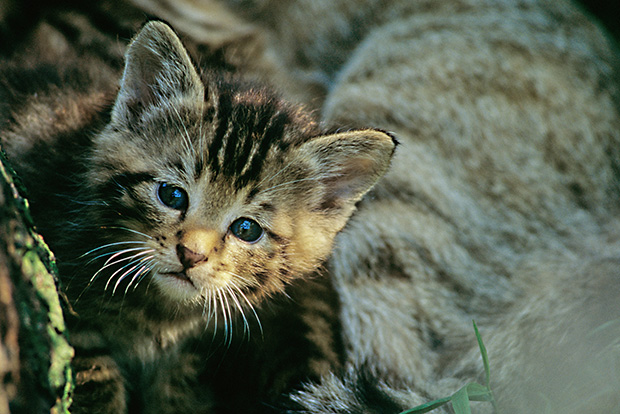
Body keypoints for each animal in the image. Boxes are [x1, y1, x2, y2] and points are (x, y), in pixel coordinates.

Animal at [0, 18, 394, 410]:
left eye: (247, 229)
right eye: (172, 195)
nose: (191, 254)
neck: (157, 314)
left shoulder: (189, 352)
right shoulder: (72, 309)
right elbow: (90, 372)